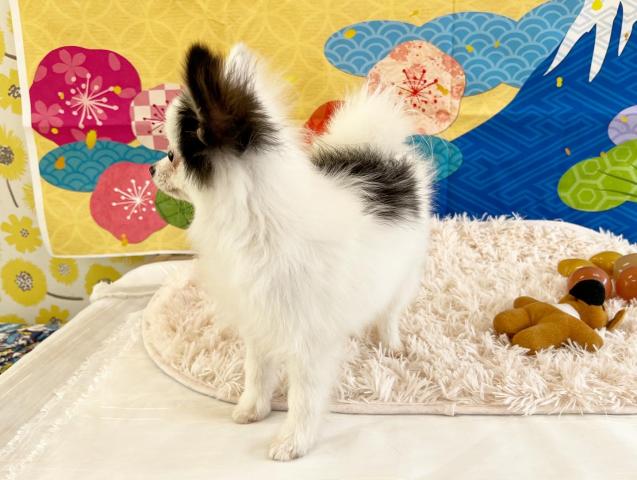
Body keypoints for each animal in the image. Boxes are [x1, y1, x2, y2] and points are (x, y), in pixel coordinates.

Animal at [151, 43, 432, 461]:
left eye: (172, 155)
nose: (151, 170)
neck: (255, 223)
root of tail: (377, 151)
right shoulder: (258, 317)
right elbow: (257, 370)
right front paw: (253, 408)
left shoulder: (308, 340)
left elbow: (304, 396)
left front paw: (293, 440)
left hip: (404, 274)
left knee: (390, 312)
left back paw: (390, 343)